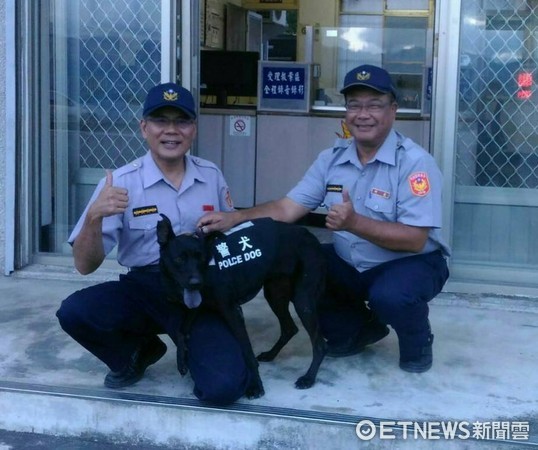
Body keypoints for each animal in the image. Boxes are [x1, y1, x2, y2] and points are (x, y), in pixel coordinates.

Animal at [156, 214, 326, 400]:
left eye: (201, 258)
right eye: (179, 259)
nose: (195, 283)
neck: (208, 270)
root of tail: (309, 235)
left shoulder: (232, 311)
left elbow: (247, 351)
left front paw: (256, 386)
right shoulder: (197, 305)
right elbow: (181, 331)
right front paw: (181, 359)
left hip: (303, 300)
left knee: (319, 344)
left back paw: (308, 378)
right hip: (275, 294)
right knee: (290, 328)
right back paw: (271, 354)